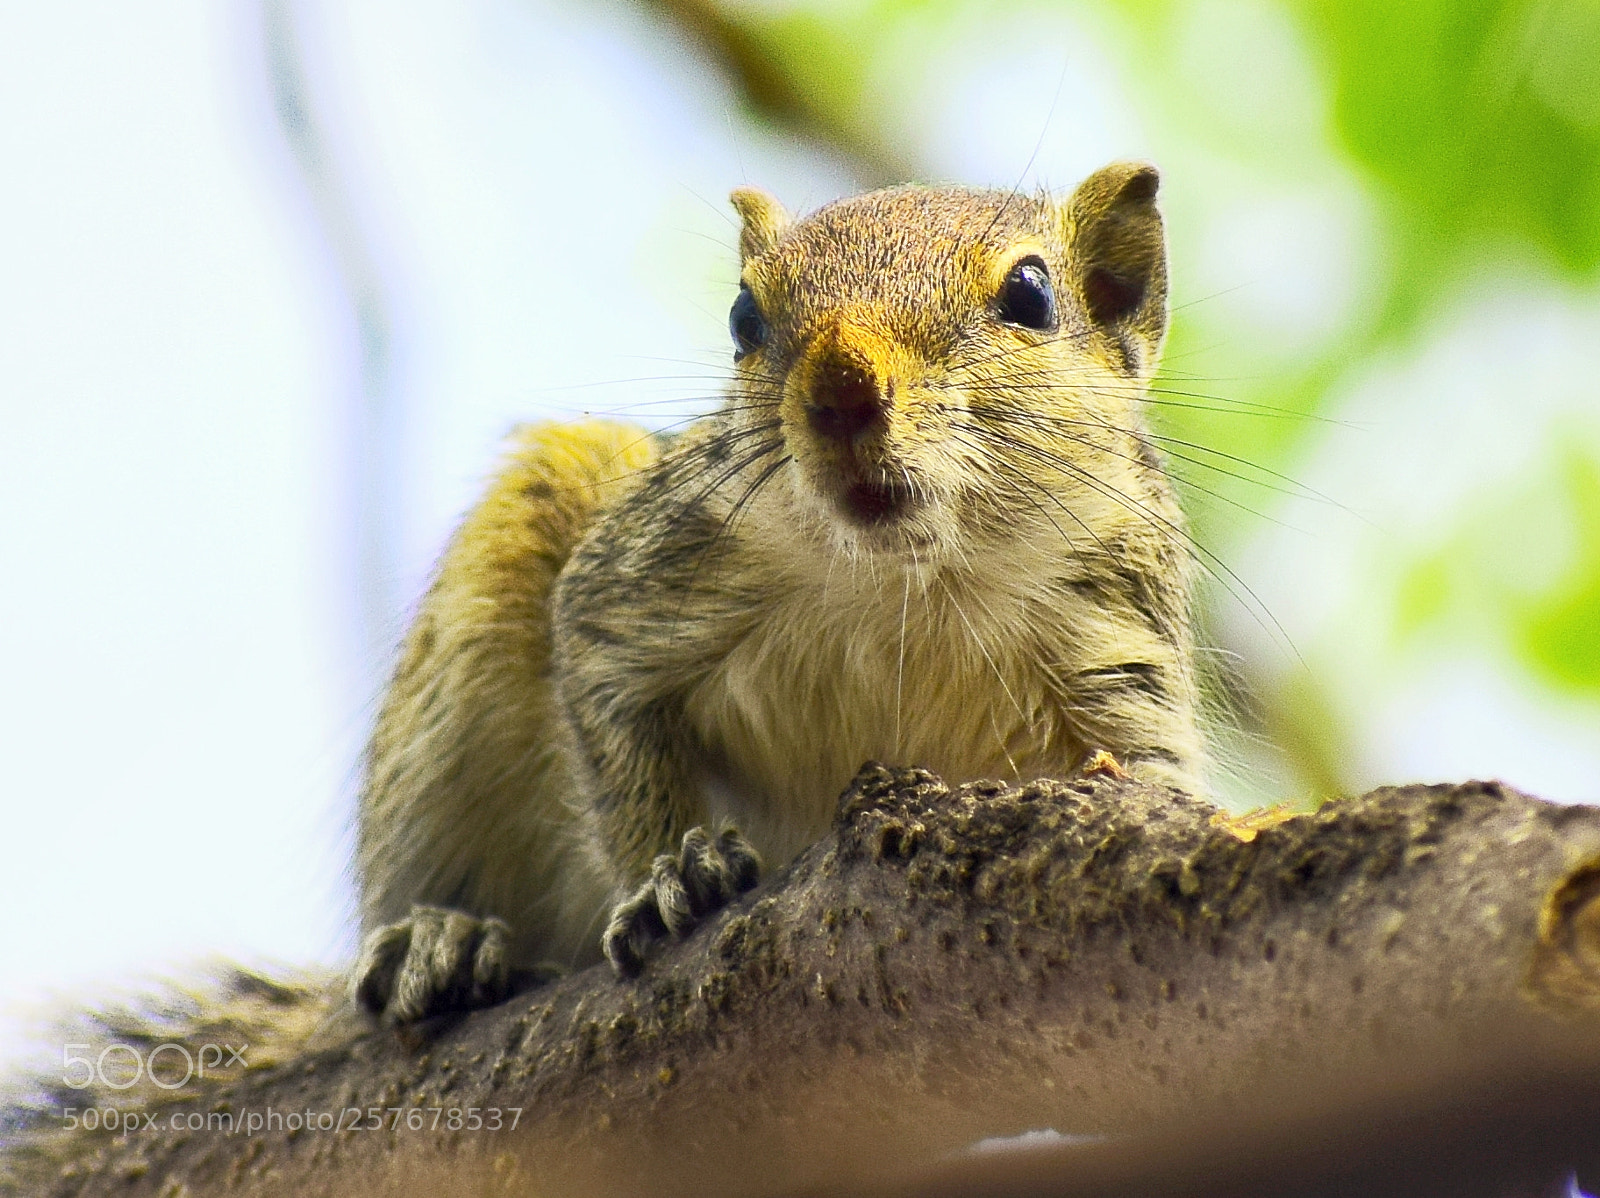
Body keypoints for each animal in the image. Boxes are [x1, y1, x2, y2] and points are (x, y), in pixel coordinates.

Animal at [347, 160, 1205, 1026]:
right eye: (742, 316)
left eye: (1031, 296)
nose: (842, 386)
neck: (903, 584)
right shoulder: (638, 584)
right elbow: (612, 713)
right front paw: (670, 873)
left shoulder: (1114, 635)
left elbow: (1148, 767)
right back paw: (438, 940)